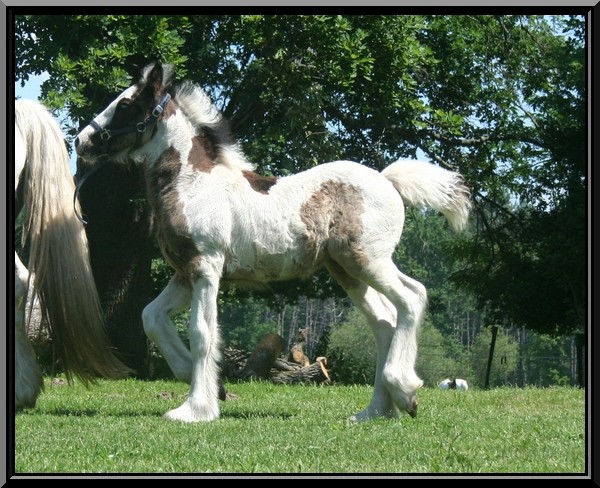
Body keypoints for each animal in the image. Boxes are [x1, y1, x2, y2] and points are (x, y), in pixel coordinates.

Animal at [75, 62, 472, 424]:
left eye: (126, 104)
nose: (81, 141)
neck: (194, 184)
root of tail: (388, 180)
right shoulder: (185, 272)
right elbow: (151, 317)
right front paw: (209, 386)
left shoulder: (206, 267)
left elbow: (202, 333)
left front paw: (195, 410)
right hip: (347, 270)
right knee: (384, 323)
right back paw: (376, 411)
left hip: (368, 260)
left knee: (412, 298)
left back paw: (405, 391)